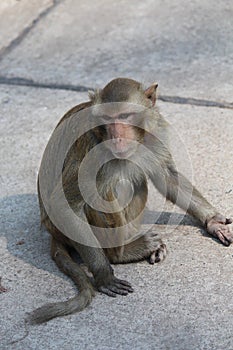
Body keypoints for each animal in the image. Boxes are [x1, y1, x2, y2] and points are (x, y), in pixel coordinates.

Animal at [28, 78, 233, 324]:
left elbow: (168, 179)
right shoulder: (93, 152)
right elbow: (64, 204)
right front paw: (104, 275)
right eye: (107, 118)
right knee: (111, 184)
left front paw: (213, 222)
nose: (116, 136)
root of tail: (52, 232)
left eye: (125, 116)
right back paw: (122, 253)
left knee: (137, 180)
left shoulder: (154, 135)